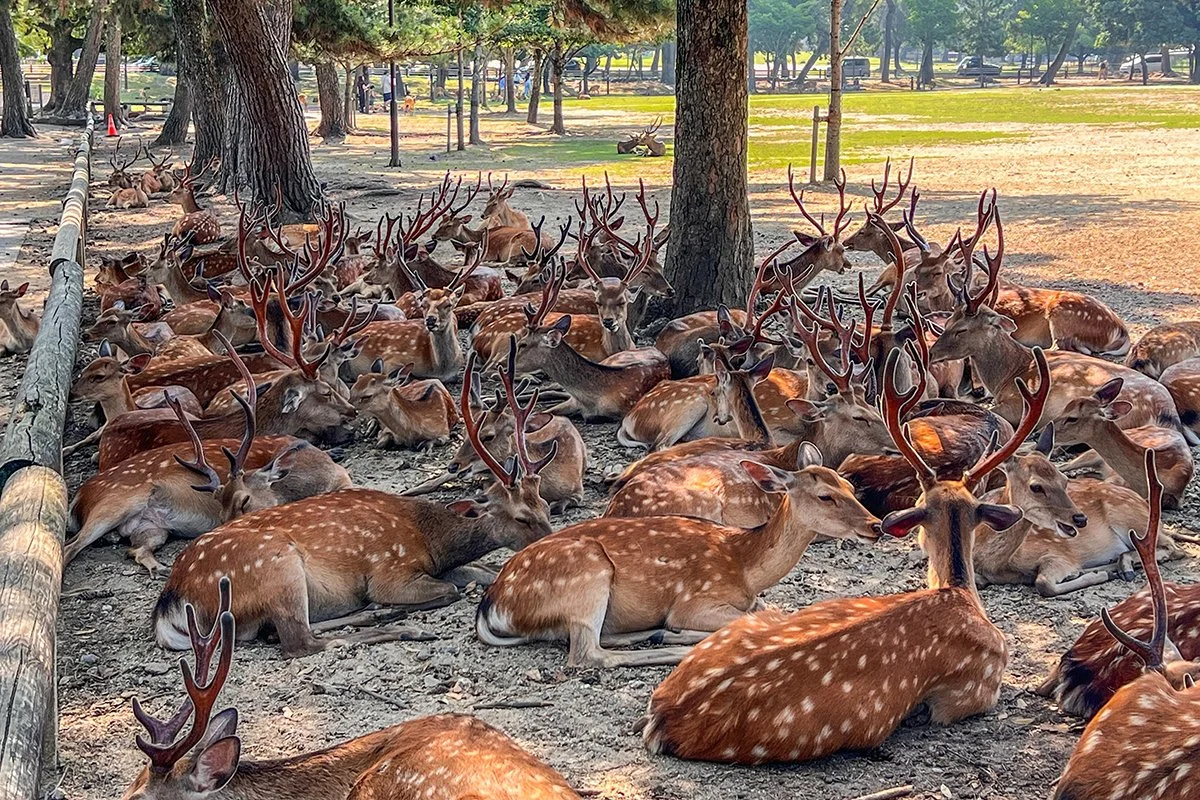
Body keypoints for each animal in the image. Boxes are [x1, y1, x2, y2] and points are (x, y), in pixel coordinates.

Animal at [153, 356, 553, 657]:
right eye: (521, 517)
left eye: (546, 506)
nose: (548, 544)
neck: (431, 540)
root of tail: (171, 599)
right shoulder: (390, 571)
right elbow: (450, 590)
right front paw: (389, 606)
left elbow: (482, 573)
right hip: (276, 567)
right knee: (299, 642)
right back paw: (400, 625)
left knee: (282, 631)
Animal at [477, 450, 880, 669]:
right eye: (825, 496)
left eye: (849, 485)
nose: (875, 525)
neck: (744, 567)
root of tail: (492, 603)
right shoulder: (695, 600)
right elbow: (764, 617)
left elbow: (769, 612)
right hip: (586, 576)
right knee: (588, 654)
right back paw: (673, 644)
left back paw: (656, 634)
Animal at [972, 425, 1185, 596]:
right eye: (1036, 486)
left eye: (1064, 480)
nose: (1080, 518)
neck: (994, 563)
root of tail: (1143, 502)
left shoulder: (1058, 555)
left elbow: (1043, 583)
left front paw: (1098, 574)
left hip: (1130, 519)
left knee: (1172, 547)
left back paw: (1121, 567)